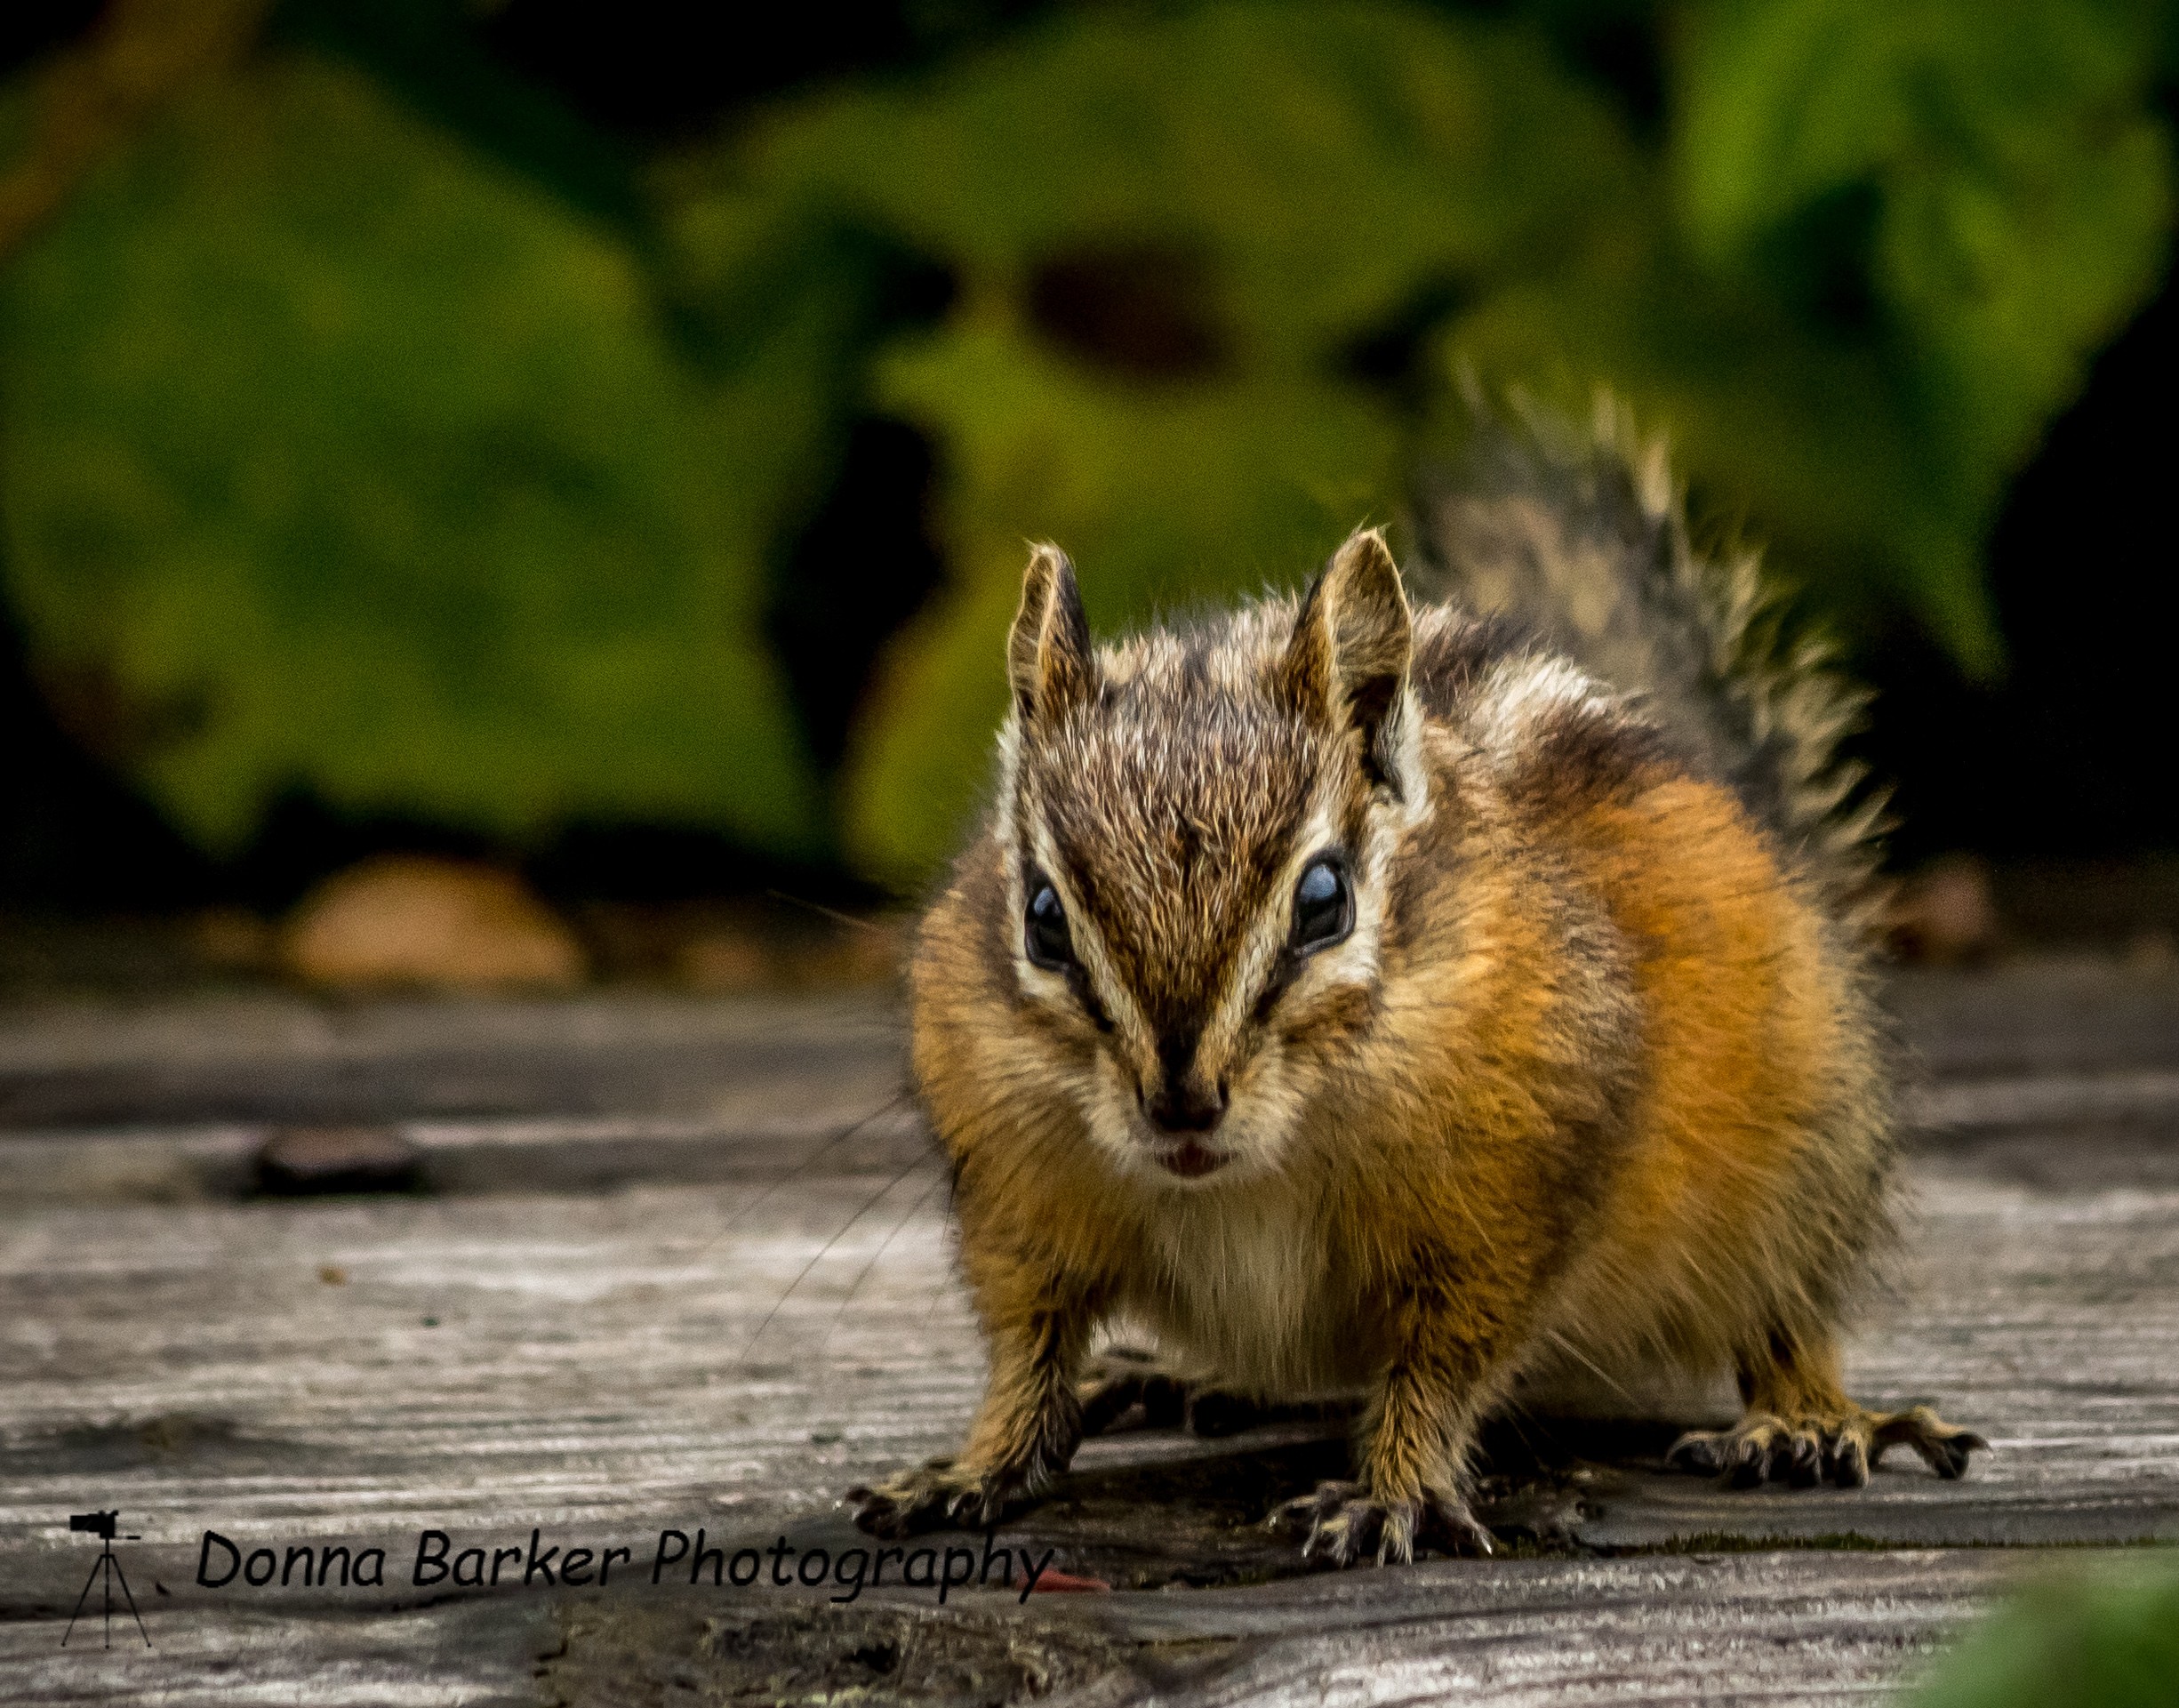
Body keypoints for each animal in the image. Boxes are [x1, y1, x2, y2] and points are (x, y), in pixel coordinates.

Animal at [846, 395, 1987, 1567]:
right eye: (1042, 920)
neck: (1252, 1174)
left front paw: (1391, 1488)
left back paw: (1809, 1420)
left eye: (1324, 901)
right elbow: (1026, 1354)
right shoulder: (1017, 1198)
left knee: (1787, 1313)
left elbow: (1442, 1366)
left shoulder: (1511, 1202)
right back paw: (1190, 1375)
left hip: (1808, 1161)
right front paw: (972, 1467)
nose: (1181, 1104)